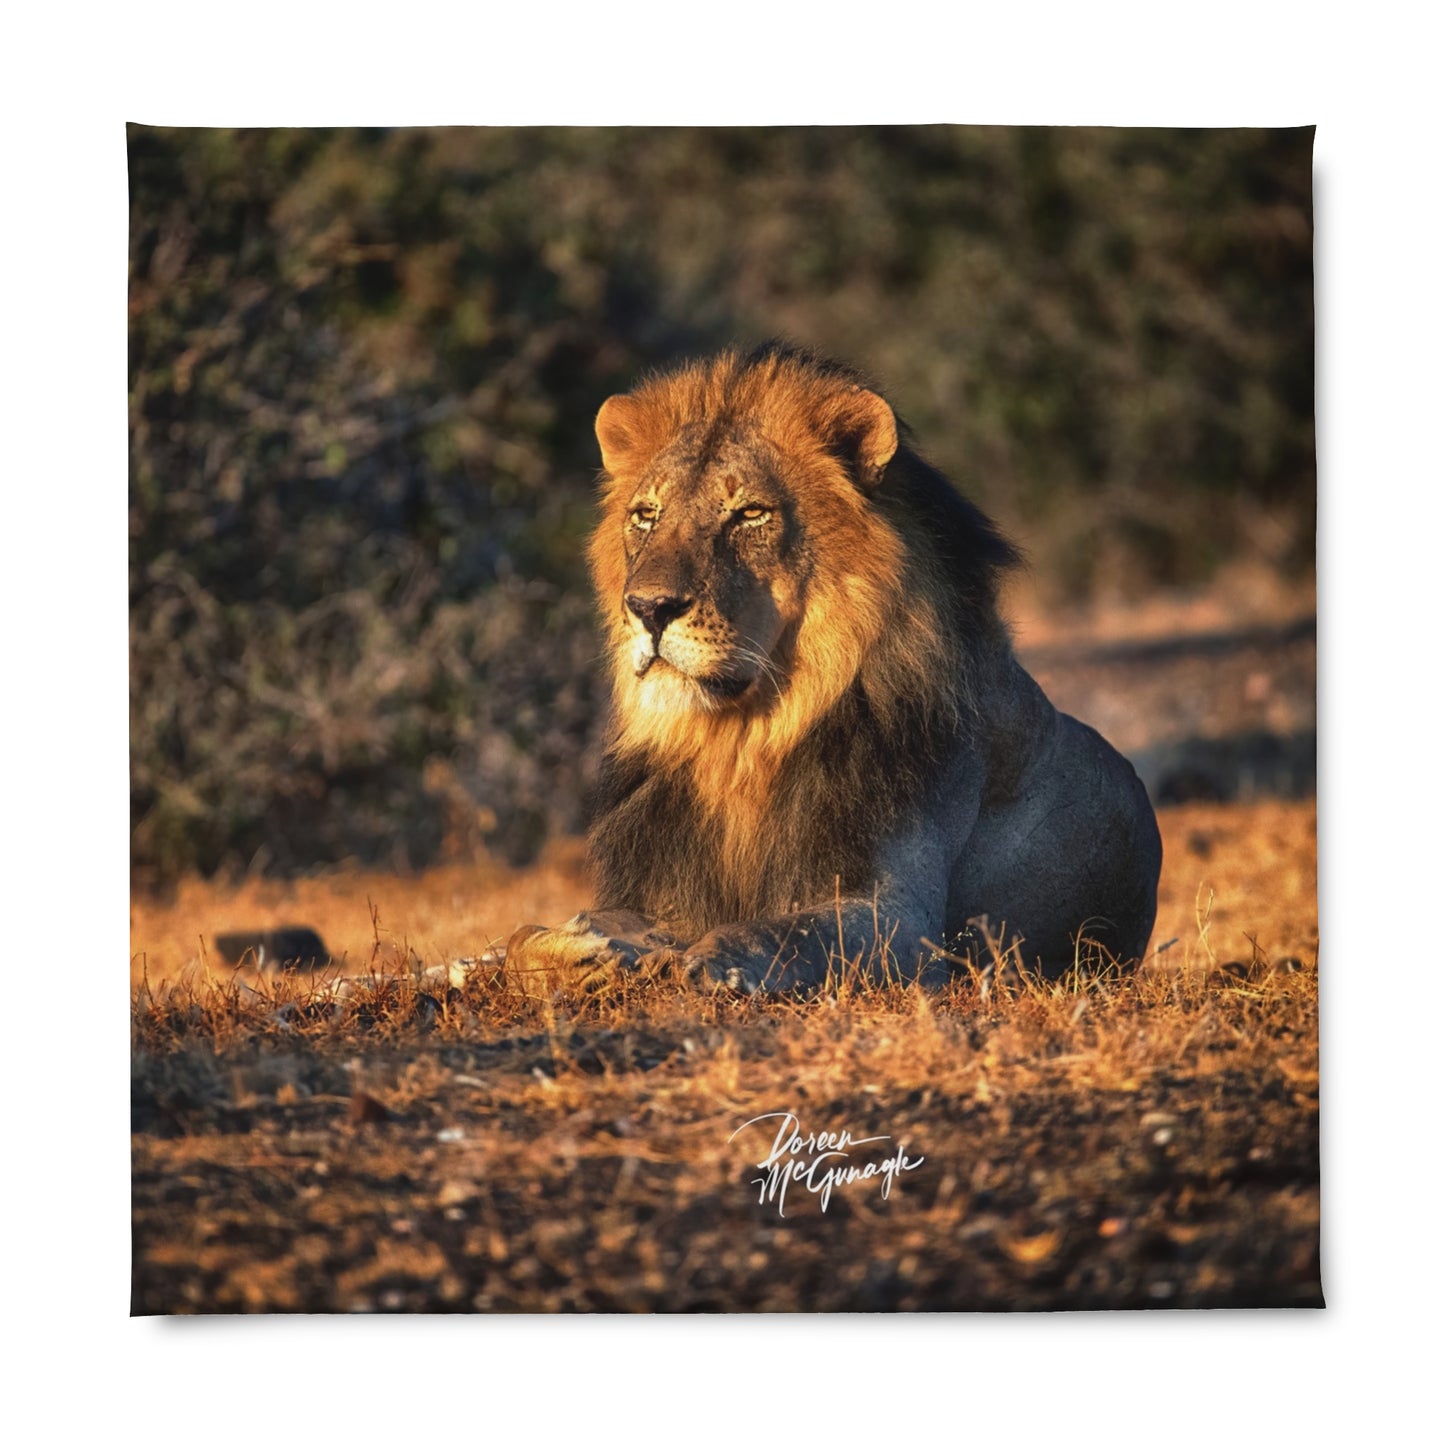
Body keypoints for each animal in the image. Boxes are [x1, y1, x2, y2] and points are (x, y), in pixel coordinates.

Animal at [506, 344, 1162, 996]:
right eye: (645, 515)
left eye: (750, 513)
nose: (647, 608)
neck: (740, 742)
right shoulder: (664, 893)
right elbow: (522, 936)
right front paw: (579, 948)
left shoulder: (904, 919)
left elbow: (781, 931)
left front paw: (709, 962)